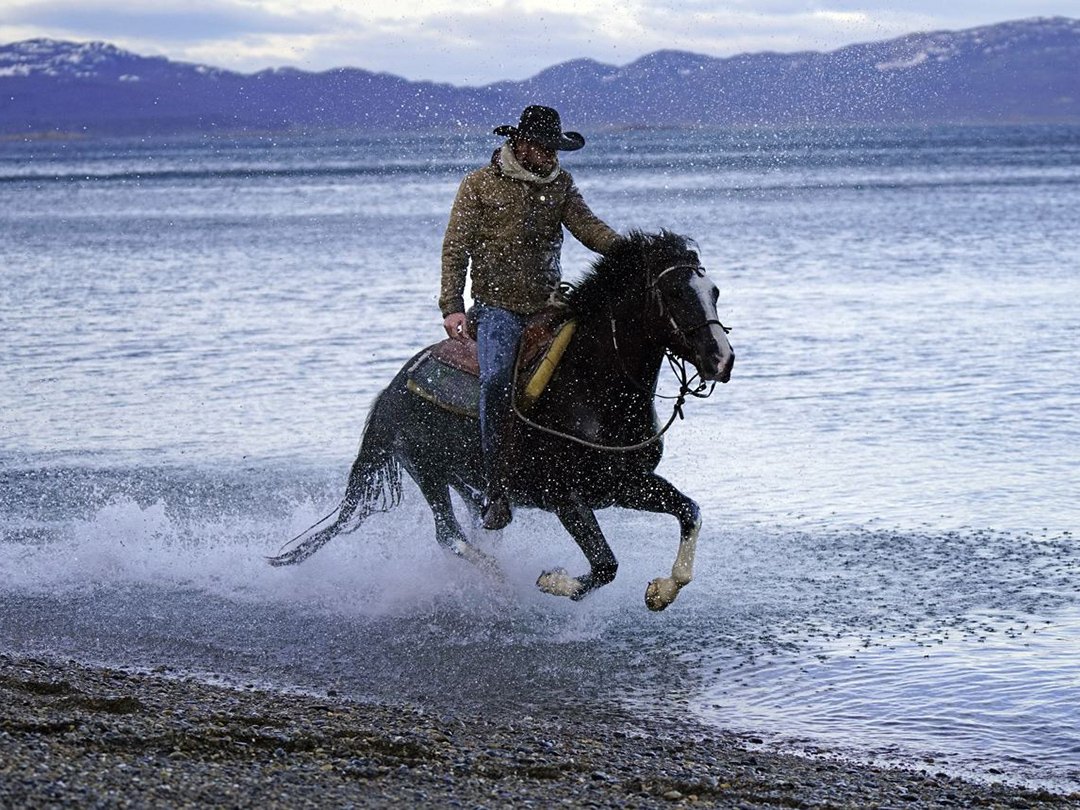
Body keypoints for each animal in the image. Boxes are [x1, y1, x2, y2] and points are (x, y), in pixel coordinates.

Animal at [268, 231, 734, 613]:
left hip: (464, 479)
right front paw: (550, 581)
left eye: (713, 290)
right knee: (450, 535)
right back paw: (501, 583)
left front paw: (661, 591)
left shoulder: (624, 484)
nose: (721, 359)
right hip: (426, 469)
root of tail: (394, 388)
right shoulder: (565, 496)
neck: (592, 387)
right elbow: (605, 565)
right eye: (674, 293)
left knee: (475, 524)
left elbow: (689, 512)